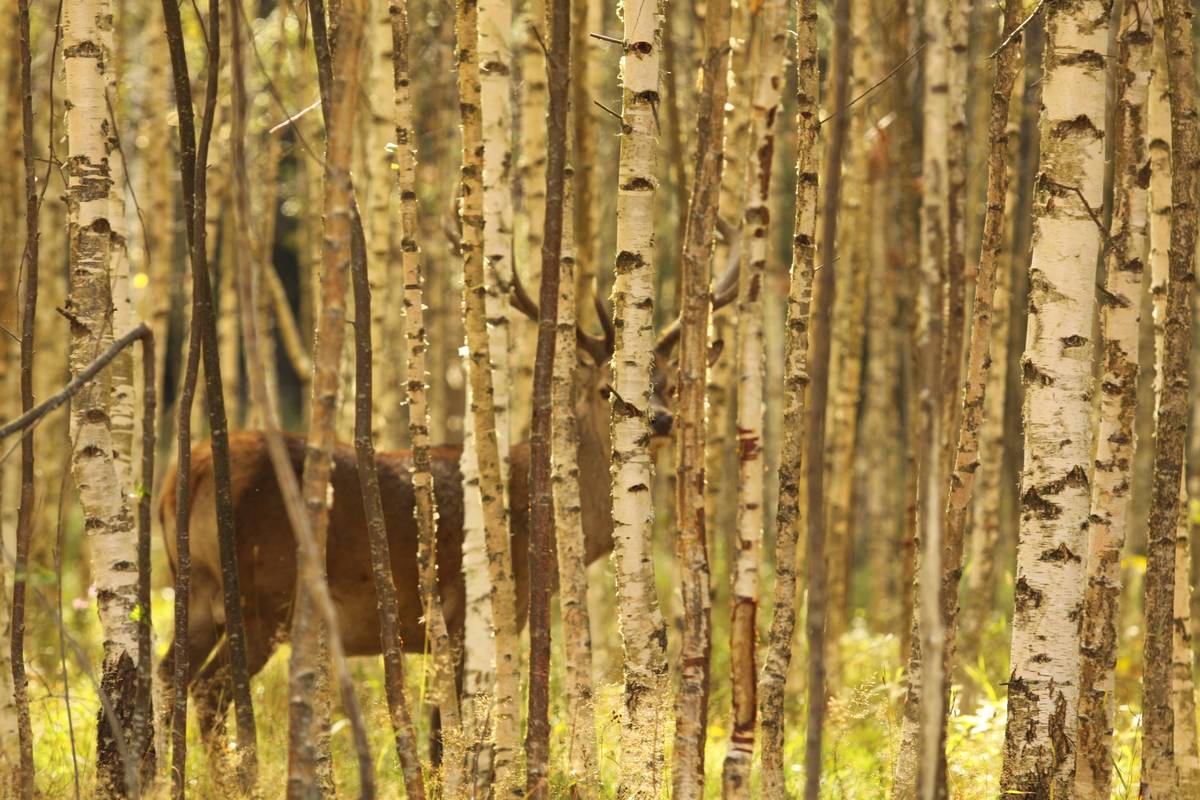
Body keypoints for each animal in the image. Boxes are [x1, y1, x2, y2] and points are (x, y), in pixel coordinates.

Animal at [157, 241, 739, 748]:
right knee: (209, 692)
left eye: (673, 385)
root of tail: (183, 475)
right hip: (263, 594)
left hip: (203, 593)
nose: (661, 420)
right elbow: (445, 734)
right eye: (605, 390)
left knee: (169, 677)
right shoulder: (465, 618)